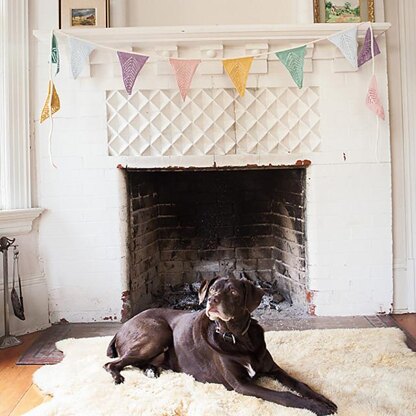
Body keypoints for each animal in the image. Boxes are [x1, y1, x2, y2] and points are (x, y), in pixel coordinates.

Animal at [104, 276, 338, 416]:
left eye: (234, 292)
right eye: (212, 290)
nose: (212, 300)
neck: (238, 337)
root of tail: (121, 328)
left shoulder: (274, 369)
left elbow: (300, 385)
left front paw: (323, 400)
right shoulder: (241, 385)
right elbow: (286, 395)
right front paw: (317, 407)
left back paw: (151, 370)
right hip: (158, 333)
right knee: (112, 364)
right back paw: (119, 377)